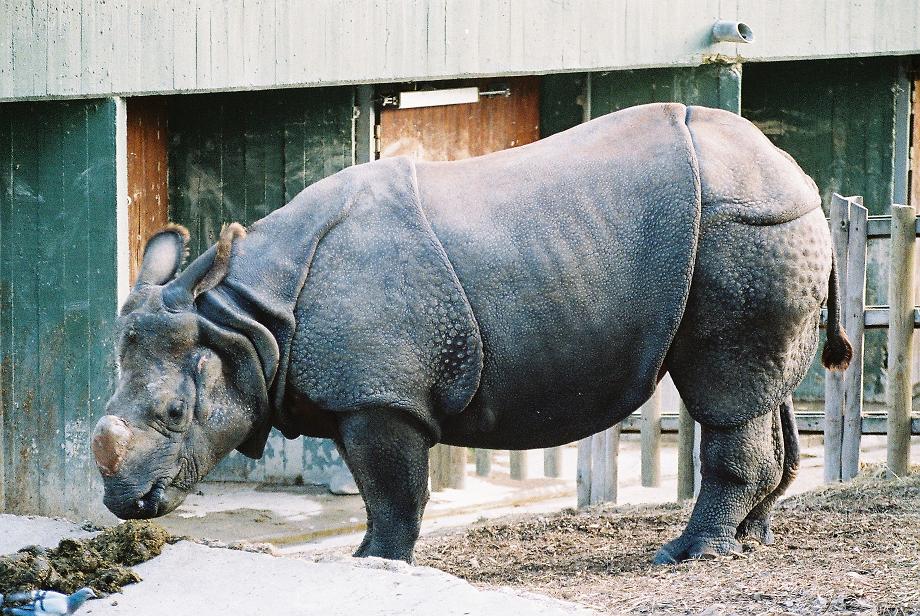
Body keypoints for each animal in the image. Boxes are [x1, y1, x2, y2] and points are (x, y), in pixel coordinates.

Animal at [92, 103, 851, 564]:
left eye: (174, 412)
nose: (125, 504)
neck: (243, 322)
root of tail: (800, 175)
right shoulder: (370, 391)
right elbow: (389, 493)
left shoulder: (381, 398)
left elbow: (393, 495)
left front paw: (374, 565)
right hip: (761, 226)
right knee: (761, 391)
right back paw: (749, 541)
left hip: (742, 228)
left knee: (724, 388)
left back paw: (685, 555)